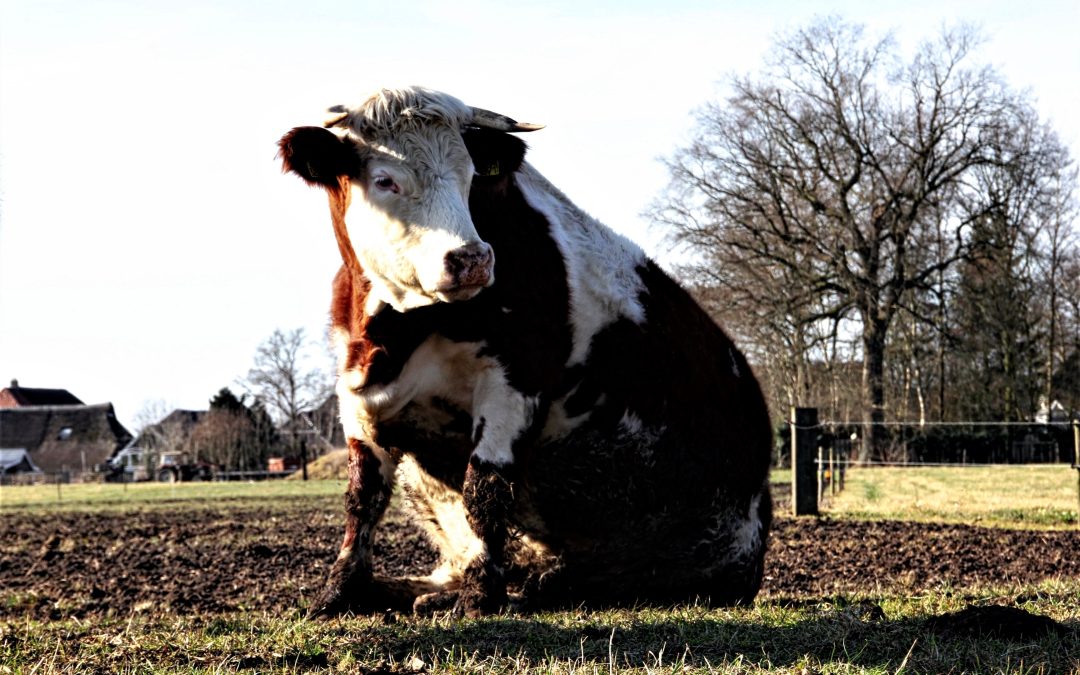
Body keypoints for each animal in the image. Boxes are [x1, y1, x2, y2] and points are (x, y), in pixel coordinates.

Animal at [276, 88, 768, 617]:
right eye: (385, 180)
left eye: (470, 174)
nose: (471, 258)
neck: (395, 334)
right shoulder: (356, 394)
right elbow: (362, 496)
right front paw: (338, 592)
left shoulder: (513, 384)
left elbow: (484, 491)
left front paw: (479, 598)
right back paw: (417, 592)